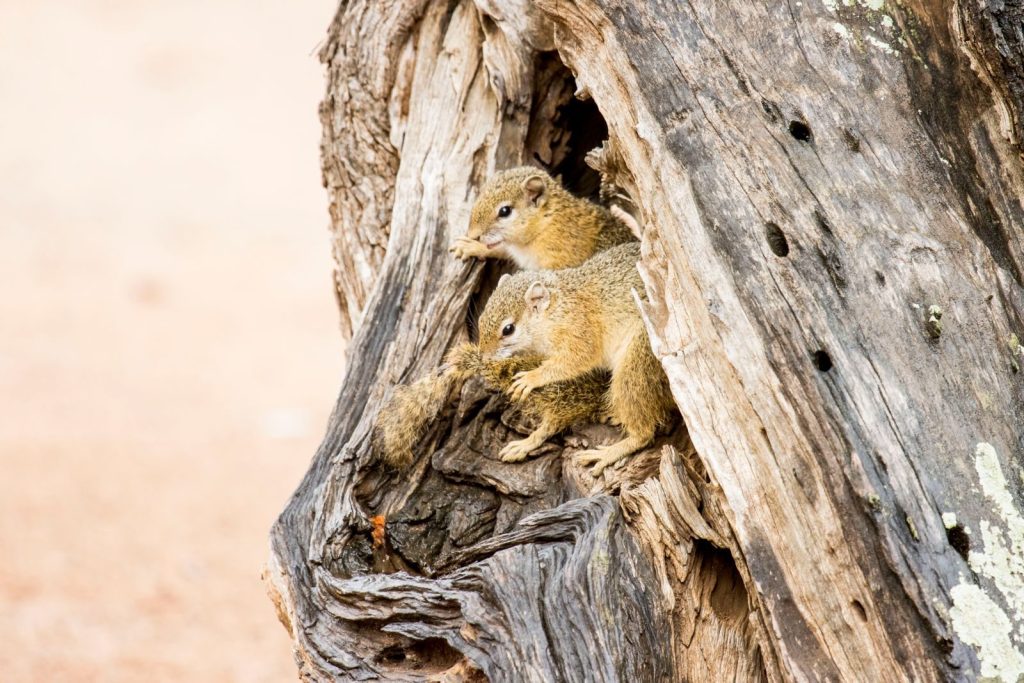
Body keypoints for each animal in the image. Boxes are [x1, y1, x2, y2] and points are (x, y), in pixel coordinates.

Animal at [477, 242, 675, 475]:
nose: (483, 357)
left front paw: (532, 377)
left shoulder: (580, 331)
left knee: (643, 432)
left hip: (638, 359)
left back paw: (608, 453)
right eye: (481, 318)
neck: (556, 309)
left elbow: (575, 361)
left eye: (508, 329)